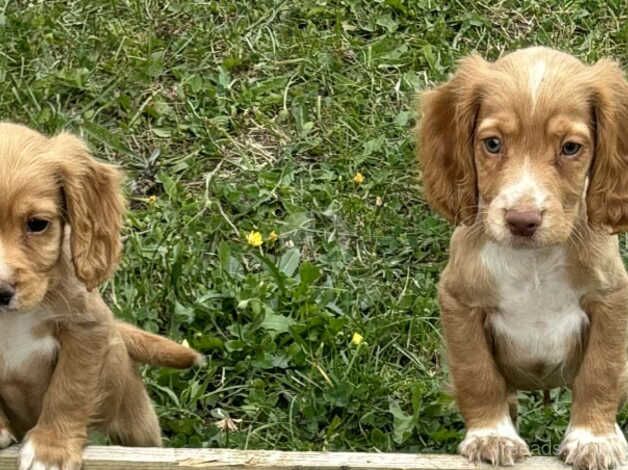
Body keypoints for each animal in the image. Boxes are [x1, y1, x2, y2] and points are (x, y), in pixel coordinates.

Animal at [418, 46, 628, 470]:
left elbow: (601, 371)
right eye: (493, 144)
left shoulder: (611, 297)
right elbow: (477, 374)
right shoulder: (459, 300)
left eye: (570, 148)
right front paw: (491, 436)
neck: (533, 262)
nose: (522, 221)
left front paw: (594, 439)